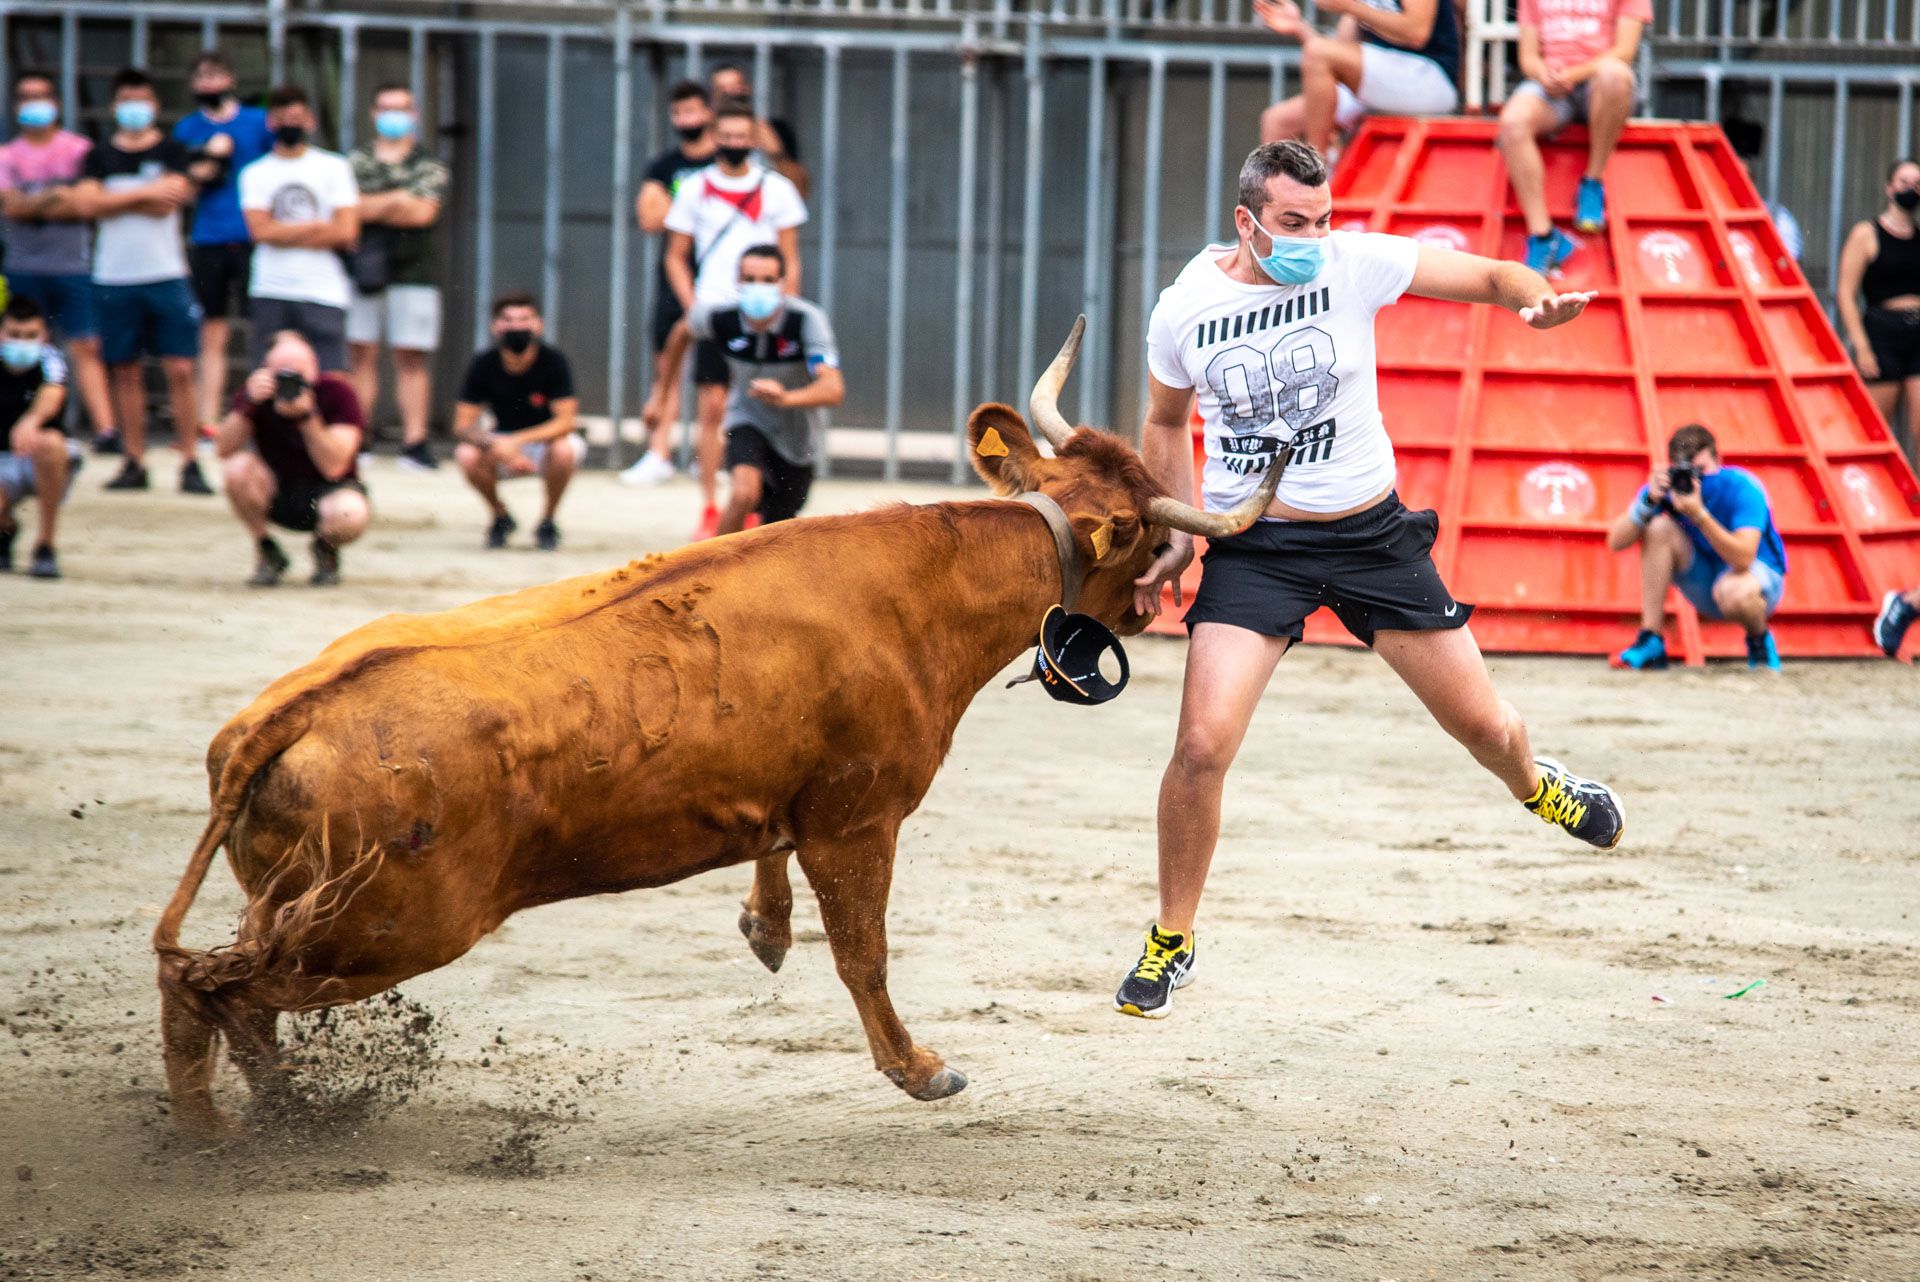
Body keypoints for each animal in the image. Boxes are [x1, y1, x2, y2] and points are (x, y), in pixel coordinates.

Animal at [157, 320, 1282, 1128]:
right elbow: (863, 953)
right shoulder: (859, 820)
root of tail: (283, 716)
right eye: (1148, 541)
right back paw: (232, 1130)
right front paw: (919, 1068)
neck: (930, 586)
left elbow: (774, 860)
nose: (1157, 602)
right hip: (390, 929)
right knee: (215, 991)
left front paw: (764, 924)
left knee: (220, 996)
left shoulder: (792, 798)